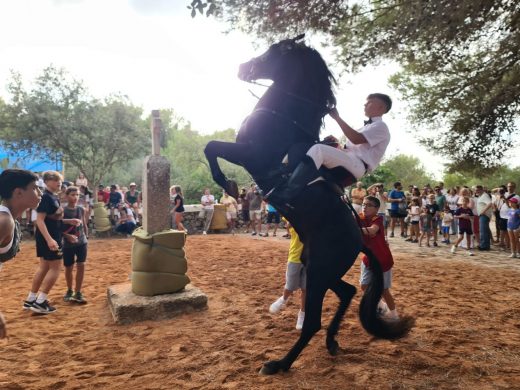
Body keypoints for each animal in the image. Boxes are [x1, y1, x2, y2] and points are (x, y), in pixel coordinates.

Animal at [203, 35, 410, 374]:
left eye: (274, 52)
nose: (243, 68)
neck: (283, 117)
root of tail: (360, 238)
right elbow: (211, 149)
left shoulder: (251, 154)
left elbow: (211, 147)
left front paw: (229, 184)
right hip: (319, 269)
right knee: (348, 292)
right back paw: (332, 342)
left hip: (318, 273)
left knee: (313, 321)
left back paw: (279, 363)